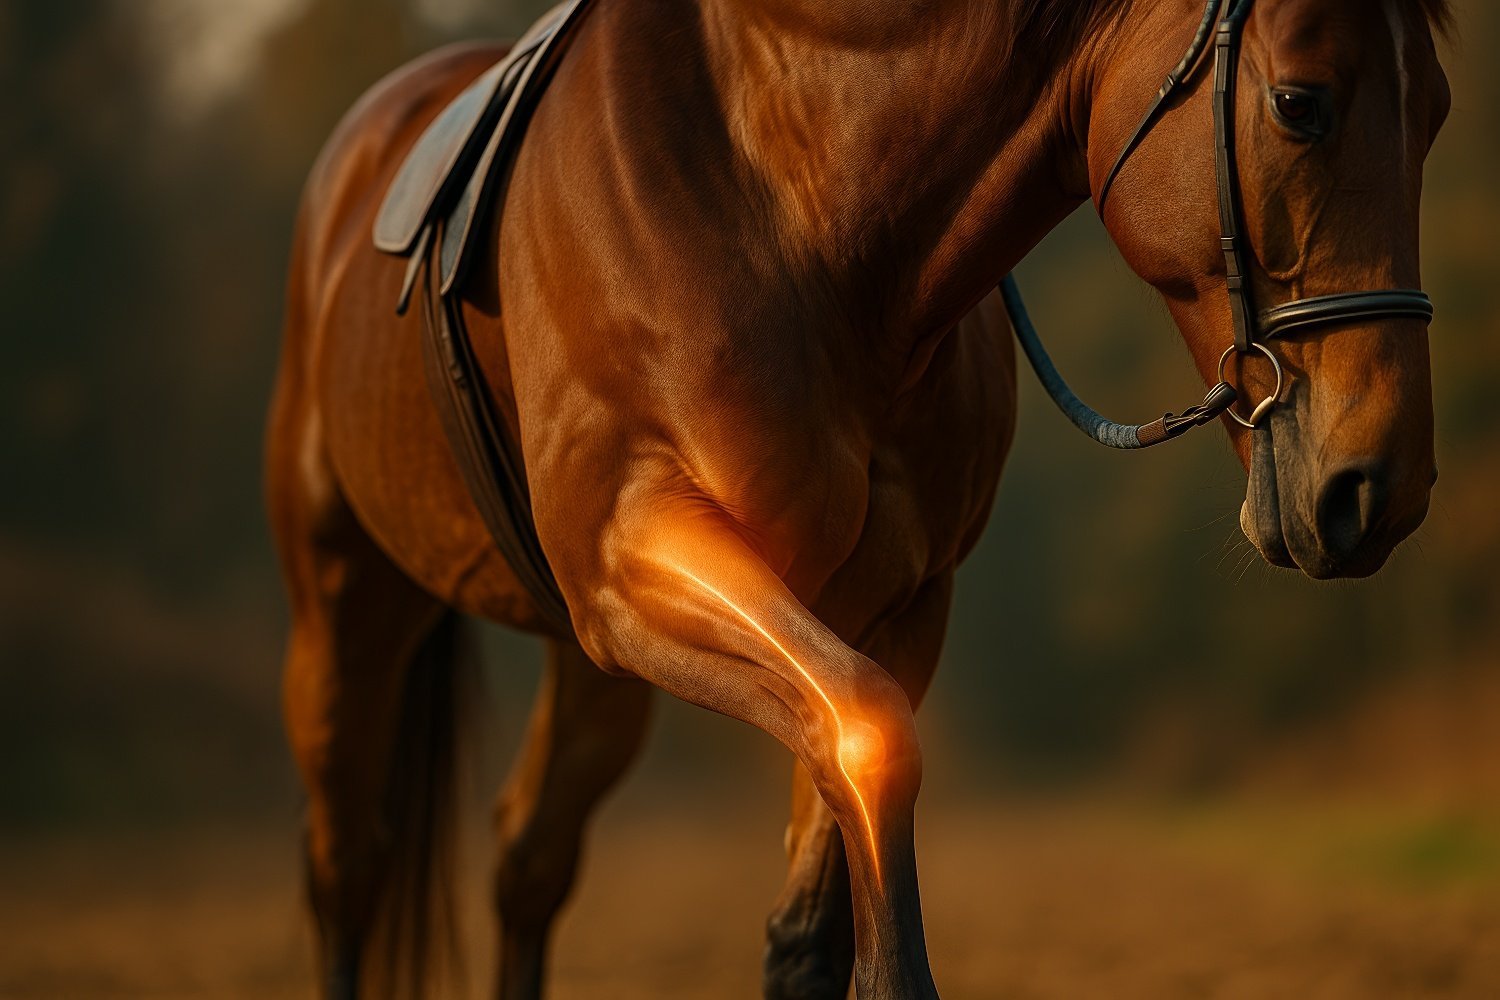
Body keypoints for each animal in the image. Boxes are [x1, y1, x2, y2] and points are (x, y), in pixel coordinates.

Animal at [265, 0, 1451, 996]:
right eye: (1299, 102)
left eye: (1437, 110)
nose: (1379, 483)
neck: (792, 206)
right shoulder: (637, 555)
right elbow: (870, 736)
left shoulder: (895, 600)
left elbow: (818, 892)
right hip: (350, 606)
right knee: (346, 865)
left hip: (588, 666)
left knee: (527, 856)